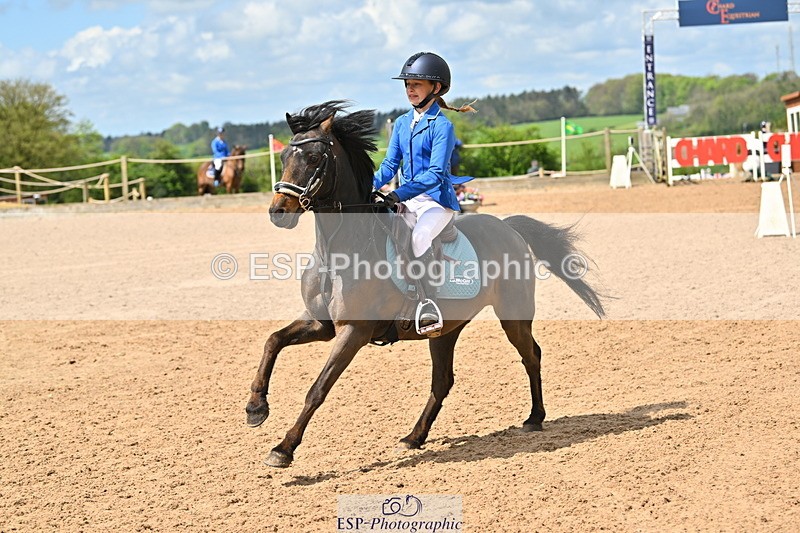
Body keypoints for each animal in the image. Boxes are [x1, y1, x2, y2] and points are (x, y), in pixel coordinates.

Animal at [245, 100, 605, 468]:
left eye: (315, 158)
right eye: (284, 156)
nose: (279, 212)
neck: (338, 252)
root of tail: (507, 227)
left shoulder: (354, 331)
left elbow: (317, 389)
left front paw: (283, 448)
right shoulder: (322, 323)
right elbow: (273, 340)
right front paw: (256, 407)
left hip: (513, 315)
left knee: (531, 355)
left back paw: (534, 418)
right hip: (446, 329)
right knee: (442, 381)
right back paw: (414, 437)